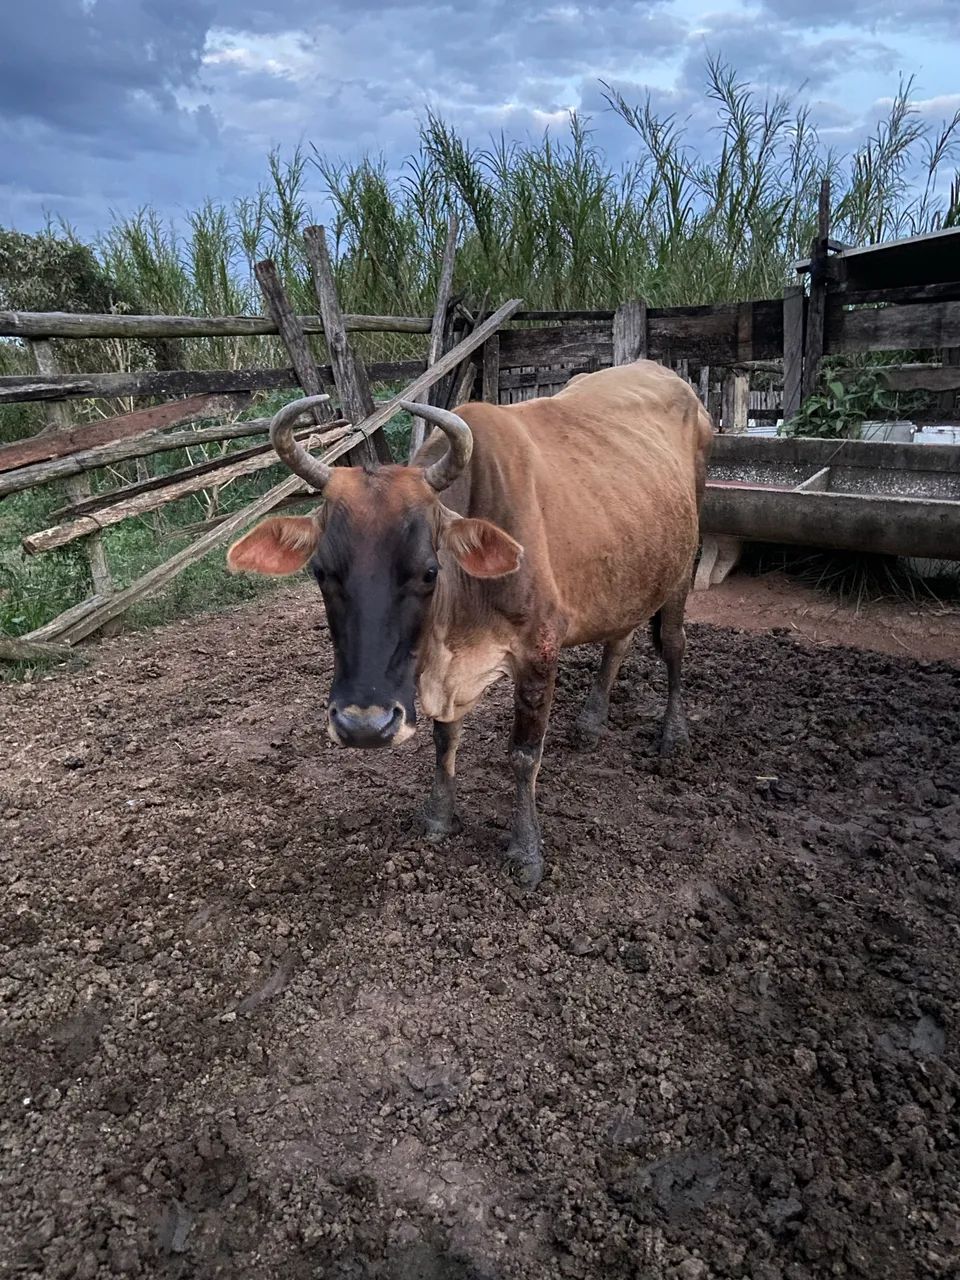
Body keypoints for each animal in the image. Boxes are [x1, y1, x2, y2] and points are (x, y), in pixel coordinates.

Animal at [227, 360, 714, 887]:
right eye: (321, 571)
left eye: (429, 570)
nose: (364, 726)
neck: (455, 630)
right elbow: (445, 738)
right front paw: (439, 816)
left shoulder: (539, 652)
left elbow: (524, 755)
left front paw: (526, 851)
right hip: (631, 570)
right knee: (619, 638)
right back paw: (591, 722)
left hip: (682, 566)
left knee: (673, 644)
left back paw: (674, 736)